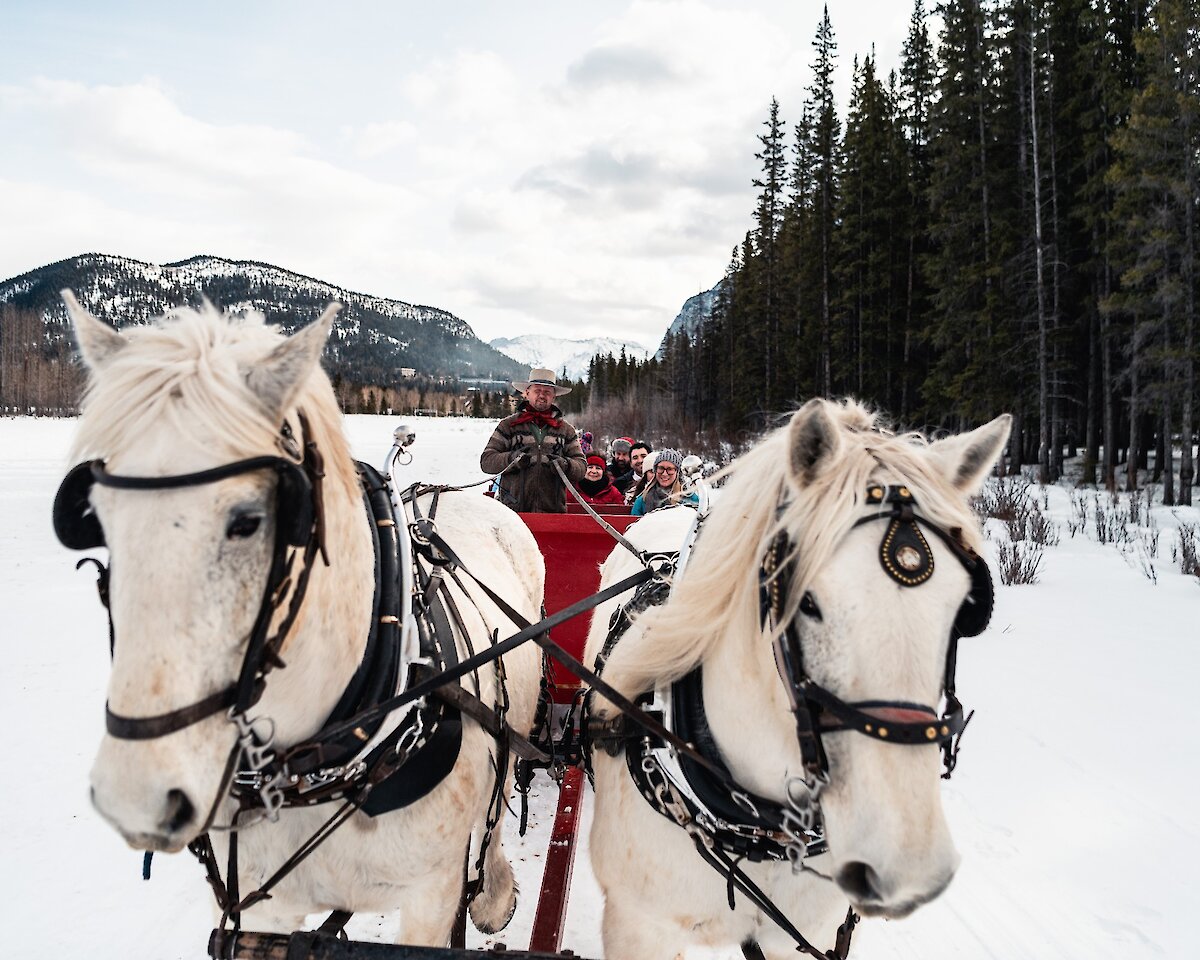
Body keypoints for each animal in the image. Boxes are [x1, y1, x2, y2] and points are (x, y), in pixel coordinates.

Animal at [57, 293, 543, 946]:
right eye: (98, 518)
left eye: (249, 520)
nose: (136, 799)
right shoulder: (264, 910)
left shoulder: (431, 897)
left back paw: (494, 893)